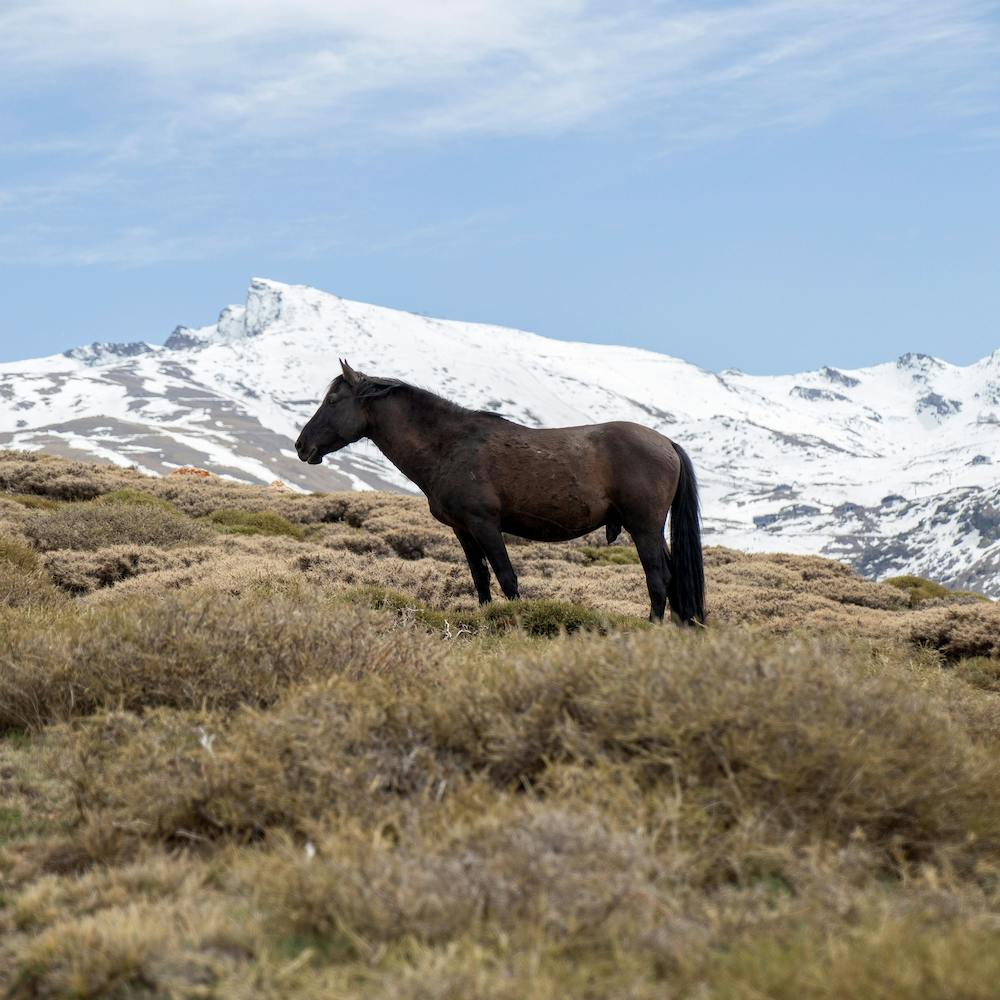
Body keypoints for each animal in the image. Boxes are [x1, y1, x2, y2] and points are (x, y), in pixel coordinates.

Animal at [296, 360, 705, 624]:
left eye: (332, 401)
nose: (302, 446)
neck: (448, 445)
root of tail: (666, 443)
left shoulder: (485, 525)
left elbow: (507, 579)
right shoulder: (463, 530)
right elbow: (481, 579)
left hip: (644, 528)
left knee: (658, 579)